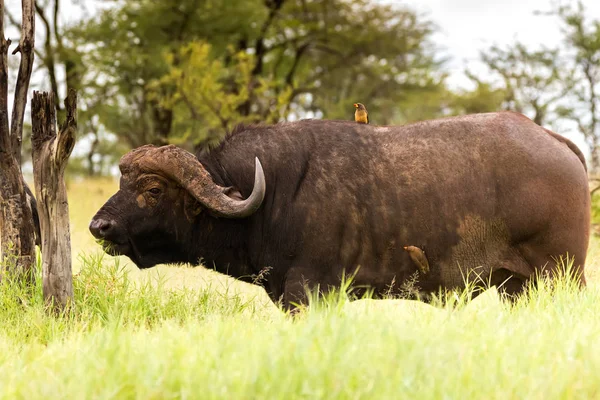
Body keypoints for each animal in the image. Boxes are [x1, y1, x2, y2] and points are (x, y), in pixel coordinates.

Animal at [90, 112, 592, 310]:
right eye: (122, 182)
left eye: (153, 189)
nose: (99, 225)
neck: (271, 196)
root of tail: (557, 142)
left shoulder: (307, 293)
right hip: (516, 288)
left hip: (562, 275)